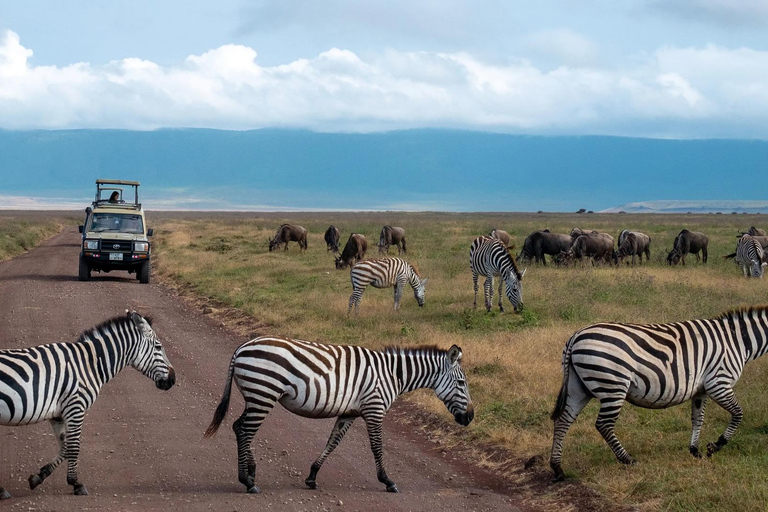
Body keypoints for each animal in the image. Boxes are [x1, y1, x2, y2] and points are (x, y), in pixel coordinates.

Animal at [0, 310, 176, 498]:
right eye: (158, 347)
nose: (173, 379)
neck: (90, 363)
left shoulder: (58, 413)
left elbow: (65, 446)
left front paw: (38, 476)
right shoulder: (75, 406)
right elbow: (74, 446)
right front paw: (75, 483)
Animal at [202, 336, 474, 492]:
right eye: (462, 383)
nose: (470, 417)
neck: (392, 374)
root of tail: (242, 348)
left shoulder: (349, 412)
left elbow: (333, 442)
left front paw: (312, 476)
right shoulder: (374, 408)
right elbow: (377, 446)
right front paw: (387, 481)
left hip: (257, 395)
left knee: (239, 427)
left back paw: (250, 472)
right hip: (263, 393)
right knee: (244, 430)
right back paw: (247, 481)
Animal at [548, 306, 768, 482]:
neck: (740, 340)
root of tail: (576, 336)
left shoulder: (701, 390)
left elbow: (698, 419)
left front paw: (694, 450)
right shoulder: (718, 382)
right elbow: (738, 414)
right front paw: (715, 446)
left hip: (578, 387)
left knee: (563, 420)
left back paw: (557, 468)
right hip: (613, 384)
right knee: (603, 424)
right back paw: (627, 460)